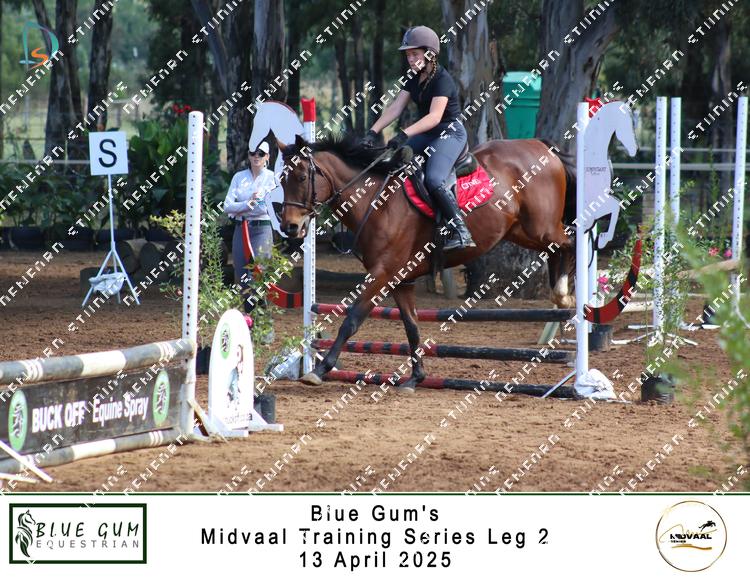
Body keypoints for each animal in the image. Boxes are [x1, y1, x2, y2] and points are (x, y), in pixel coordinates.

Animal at [276, 132, 577, 391]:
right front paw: (416, 378)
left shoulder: (382, 273)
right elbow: (411, 325)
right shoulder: (399, 279)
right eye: (281, 180)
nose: (290, 227)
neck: (376, 202)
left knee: (570, 242)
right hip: (522, 231)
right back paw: (561, 295)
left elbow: (352, 319)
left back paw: (564, 293)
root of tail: (540, 145)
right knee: (557, 249)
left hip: (541, 228)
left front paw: (320, 369)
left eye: (301, 177)